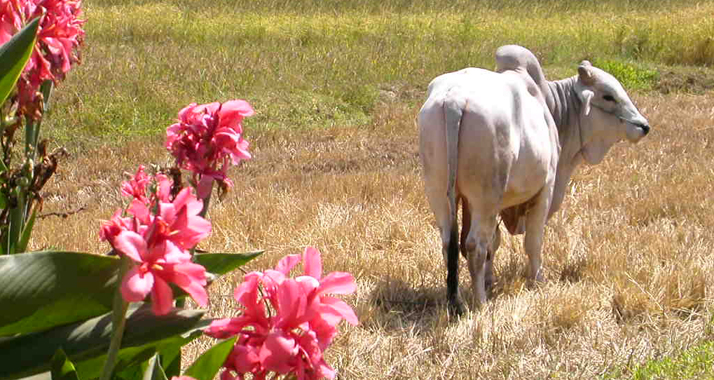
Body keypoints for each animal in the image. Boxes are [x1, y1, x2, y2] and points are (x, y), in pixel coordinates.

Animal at [418, 46, 652, 314]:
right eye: (608, 96)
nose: (644, 126)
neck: (552, 107)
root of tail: (455, 99)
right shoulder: (546, 190)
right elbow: (533, 242)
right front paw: (538, 281)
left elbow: (493, 244)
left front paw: (490, 280)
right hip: (487, 196)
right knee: (474, 246)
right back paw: (481, 303)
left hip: (439, 192)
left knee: (451, 244)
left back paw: (455, 300)